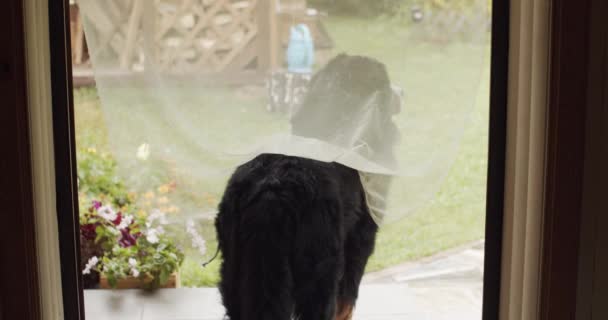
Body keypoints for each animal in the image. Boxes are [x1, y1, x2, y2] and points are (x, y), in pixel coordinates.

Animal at [214, 55, 394, 320]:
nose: (401, 93)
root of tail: (271, 190)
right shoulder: (361, 236)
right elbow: (347, 299)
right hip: (319, 267)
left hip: (236, 268)